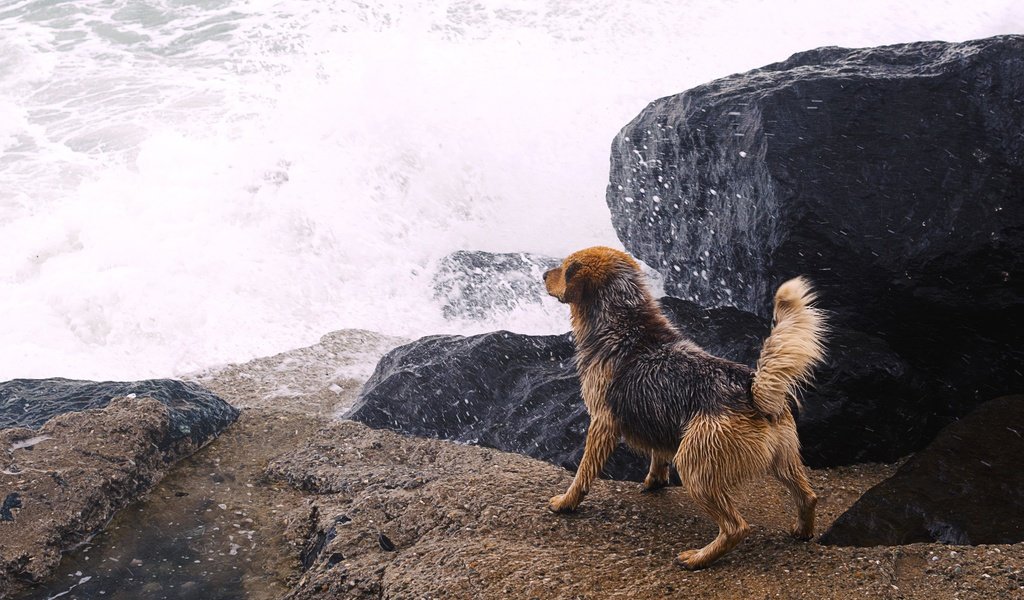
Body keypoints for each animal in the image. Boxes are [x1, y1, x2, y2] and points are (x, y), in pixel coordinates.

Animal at [544, 245, 823, 569]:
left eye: (565, 268)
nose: (543, 274)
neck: (623, 321)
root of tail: (752, 390)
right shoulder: (657, 418)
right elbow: (658, 455)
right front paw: (654, 481)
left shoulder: (602, 423)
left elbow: (584, 472)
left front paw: (566, 502)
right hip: (784, 458)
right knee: (807, 496)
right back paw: (802, 531)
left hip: (695, 465)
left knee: (736, 527)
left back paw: (699, 558)